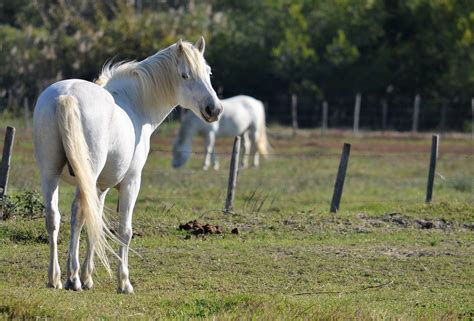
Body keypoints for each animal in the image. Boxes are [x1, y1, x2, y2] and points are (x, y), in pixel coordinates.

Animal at [33, 37, 222, 292]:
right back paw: (72, 278)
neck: (134, 103)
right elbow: (124, 231)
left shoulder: (100, 187)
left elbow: (95, 223)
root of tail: (66, 96)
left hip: (50, 173)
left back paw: (55, 278)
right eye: (185, 75)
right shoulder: (132, 182)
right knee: (77, 214)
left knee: (54, 217)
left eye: (208, 72)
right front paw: (123, 282)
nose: (214, 109)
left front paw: (88, 276)